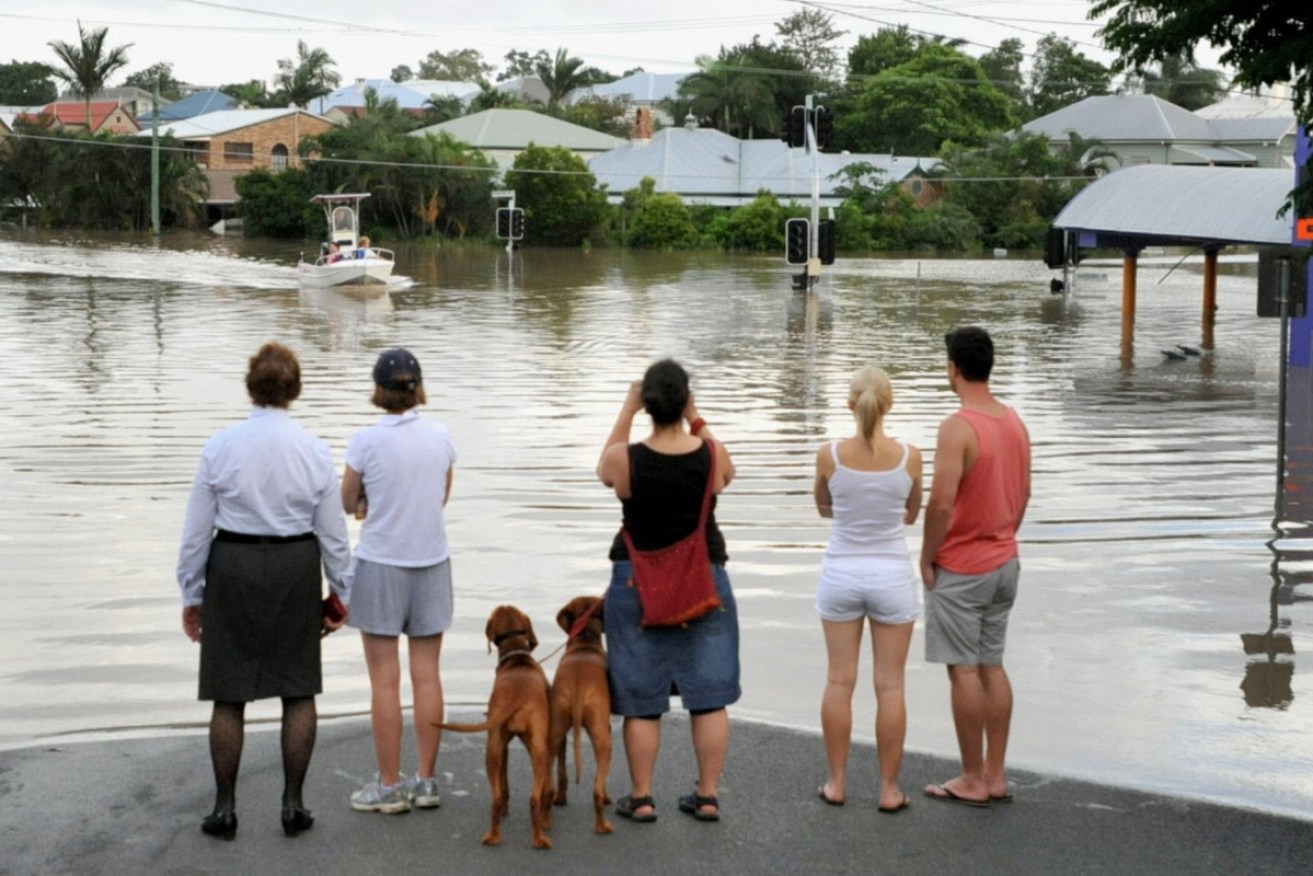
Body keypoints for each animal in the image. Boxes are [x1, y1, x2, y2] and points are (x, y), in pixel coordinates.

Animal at [435, 606, 548, 845]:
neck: (517, 658)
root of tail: (517, 694)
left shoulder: (503, 745)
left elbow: (503, 785)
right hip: (534, 749)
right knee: (533, 797)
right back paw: (540, 834)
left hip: (494, 748)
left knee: (497, 797)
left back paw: (495, 834)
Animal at [551, 596, 617, 835]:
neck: (584, 640)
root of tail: (578, 688)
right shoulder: (606, 727)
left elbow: (562, 770)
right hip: (603, 737)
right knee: (597, 789)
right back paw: (603, 825)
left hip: (555, 730)